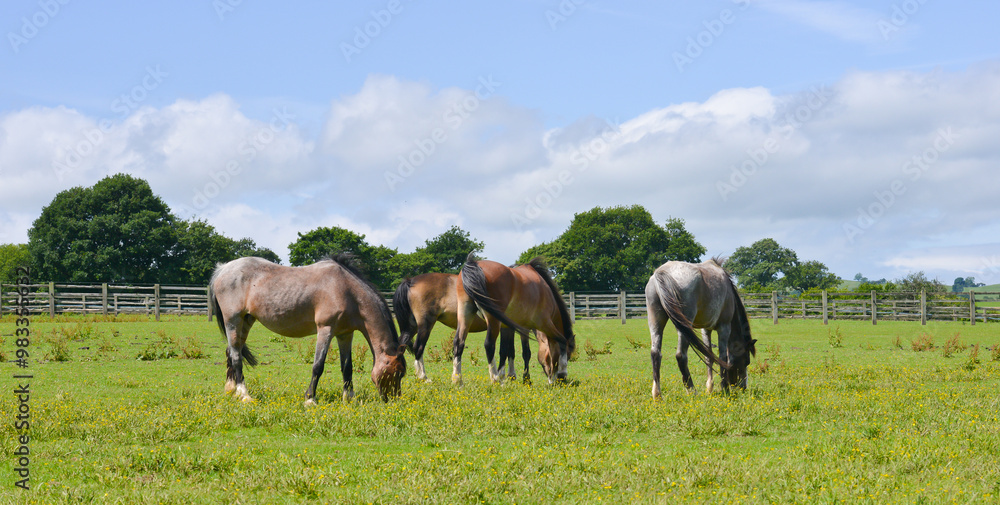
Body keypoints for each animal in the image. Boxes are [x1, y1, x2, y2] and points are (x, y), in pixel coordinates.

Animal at [210, 255, 409, 405]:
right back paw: (244, 394)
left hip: (246, 321)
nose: (394, 400)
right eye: (398, 372)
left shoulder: (345, 334)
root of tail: (223, 269)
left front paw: (349, 398)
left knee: (231, 352)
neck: (347, 290)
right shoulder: (325, 329)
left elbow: (347, 367)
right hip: (233, 321)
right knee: (236, 356)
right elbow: (318, 366)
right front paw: (310, 398)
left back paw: (231, 390)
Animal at [454, 253, 575, 385]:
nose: (559, 380)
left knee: (459, 342)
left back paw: (457, 380)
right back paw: (495, 379)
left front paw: (509, 376)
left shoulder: (509, 327)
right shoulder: (544, 324)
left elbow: (506, 350)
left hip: (465, 314)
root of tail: (474, 264)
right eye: (568, 355)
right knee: (489, 344)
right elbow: (560, 341)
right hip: (493, 320)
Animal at [645, 257, 756, 397]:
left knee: (655, 354)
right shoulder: (724, 327)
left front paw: (710, 388)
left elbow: (709, 356)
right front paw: (724, 388)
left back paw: (657, 394)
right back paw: (692, 390)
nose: (743, 387)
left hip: (656, 321)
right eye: (746, 361)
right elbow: (722, 357)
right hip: (684, 325)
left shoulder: (705, 329)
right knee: (681, 356)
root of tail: (662, 272)